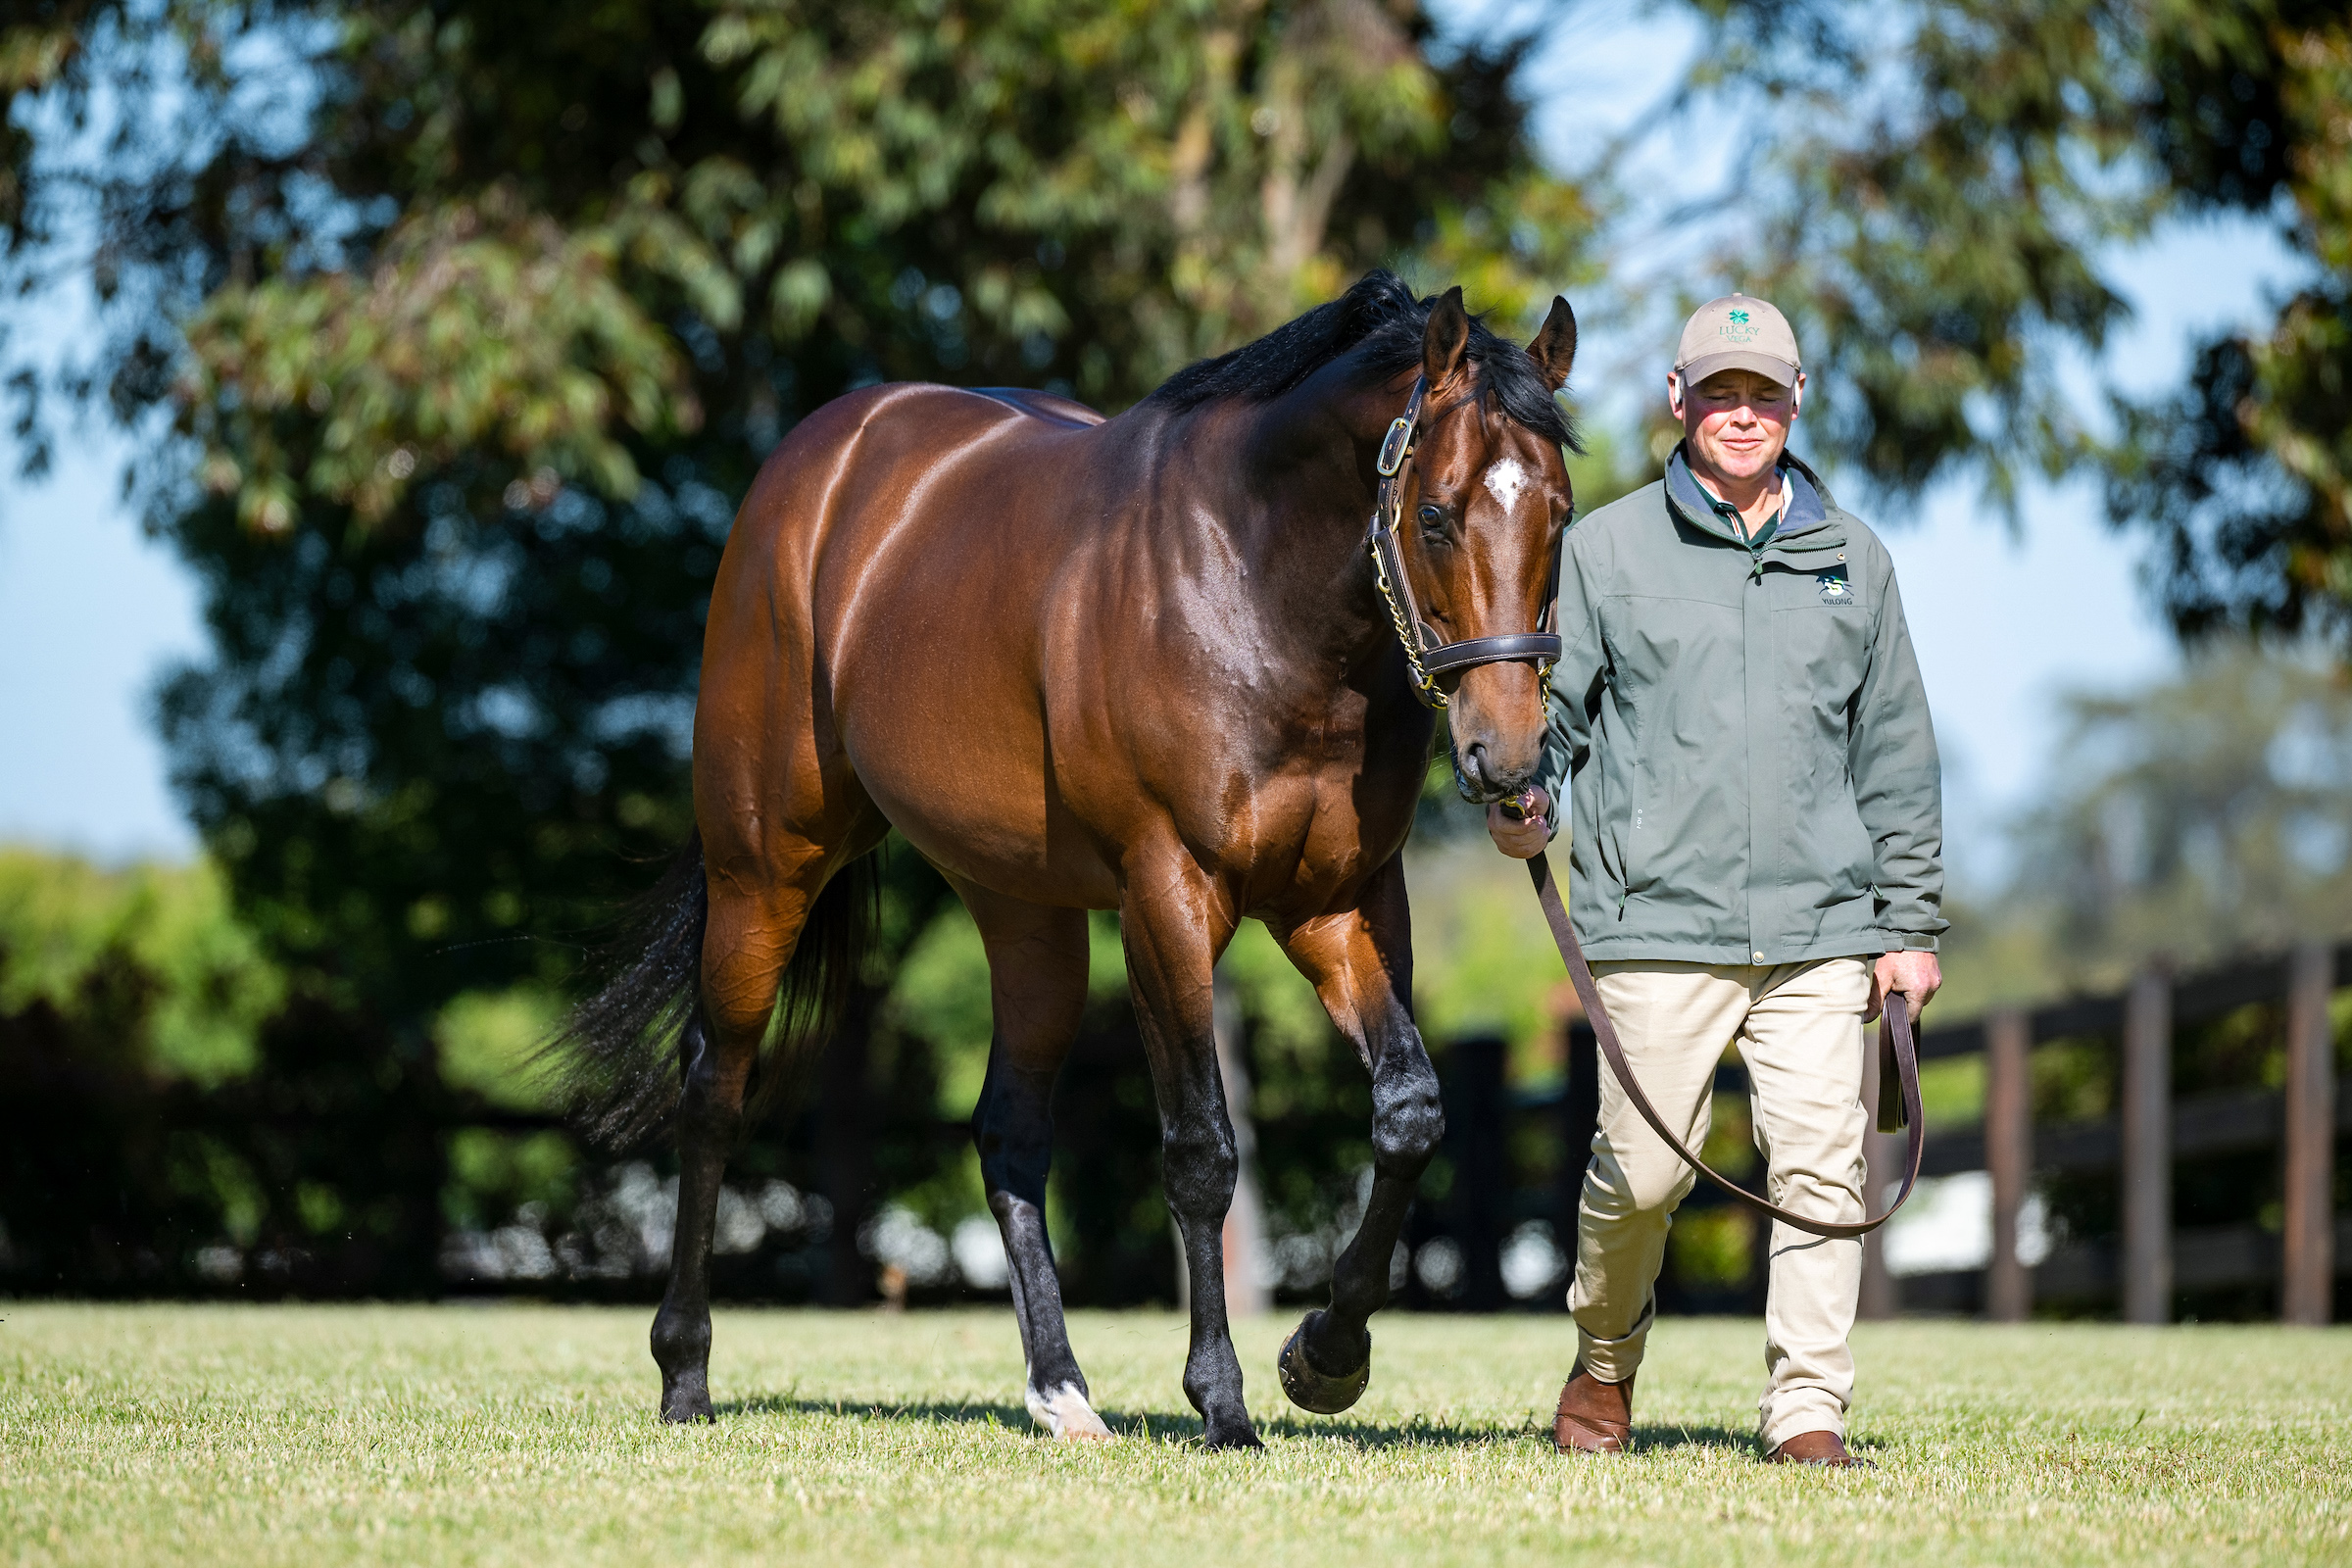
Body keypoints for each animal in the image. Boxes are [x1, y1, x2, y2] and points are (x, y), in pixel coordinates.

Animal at [557, 267, 1571, 1447]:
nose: (1507, 755)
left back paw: (1062, 1391)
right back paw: (685, 1376)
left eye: (1559, 514)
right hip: (763, 869)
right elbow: (1200, 1149)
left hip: (1024, 912)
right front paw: (1223, 1400)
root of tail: (815, 464)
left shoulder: (1341, 903)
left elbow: (1410, 1113)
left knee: (1008, 1130)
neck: (1254, 589)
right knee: (714, 1090)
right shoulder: (1167, 895)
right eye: (1439, 514)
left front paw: (1325, 1356)